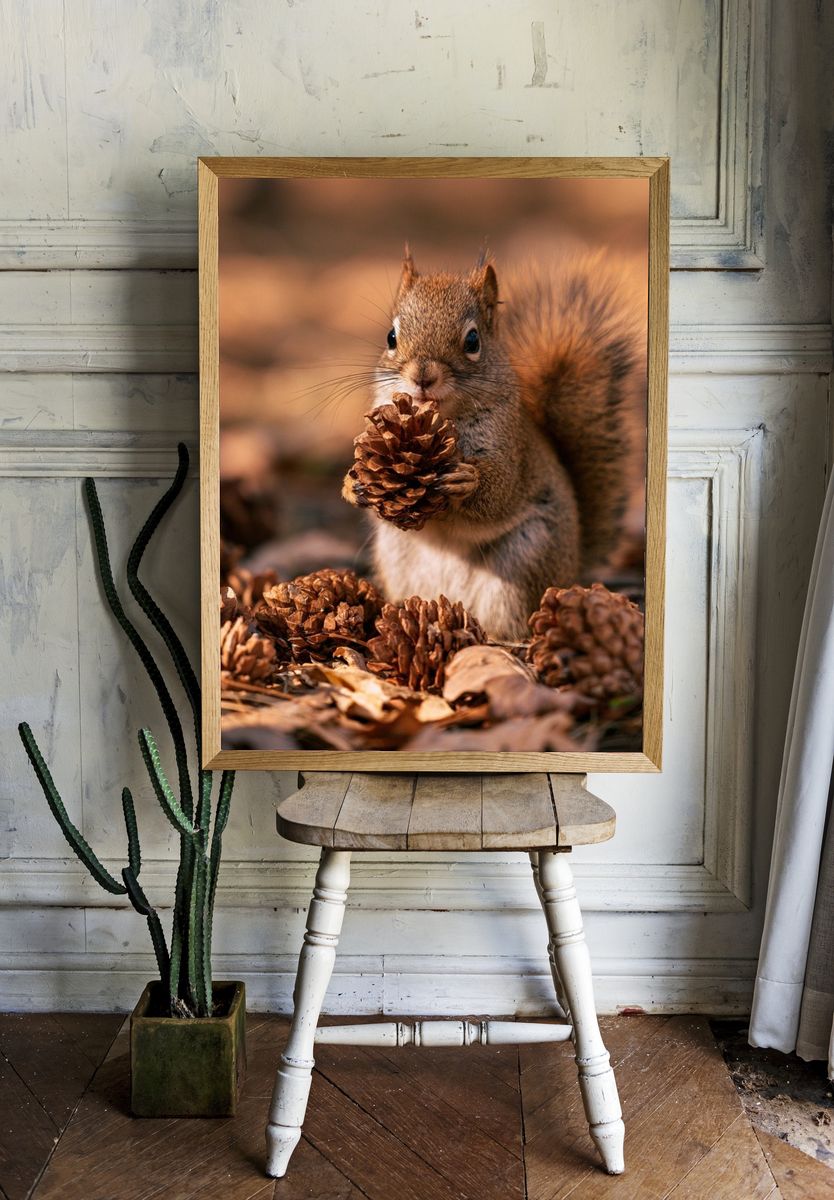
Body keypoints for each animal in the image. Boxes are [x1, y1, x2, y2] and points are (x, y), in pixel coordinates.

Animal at [342, 248, 643, 642]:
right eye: (391, 337)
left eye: (473, 342)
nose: (423, 376)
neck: (442, 419)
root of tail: (572, 569)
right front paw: (351, 485)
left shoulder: (512, 450)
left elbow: (500, 492)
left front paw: (466, 482)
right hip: (397, 554)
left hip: (524, 559)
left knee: (514, 623)